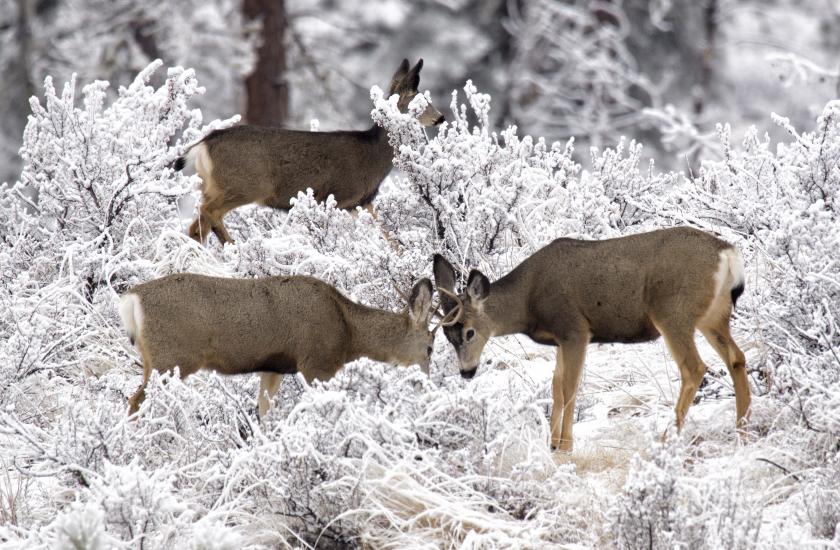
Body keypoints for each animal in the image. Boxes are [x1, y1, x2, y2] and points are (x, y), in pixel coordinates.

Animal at [120, 274, 446, 416]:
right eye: (430, 348)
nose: (426, 383)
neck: (347, 331)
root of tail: (131, 300)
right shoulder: (316, 363)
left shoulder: (274, 367)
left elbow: (265, 412)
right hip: (171, 358)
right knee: (136, 401)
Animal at [174, 58, 442, 246]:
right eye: (419, 102)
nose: (440, 118)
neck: (373, 156)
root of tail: (203, 144)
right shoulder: (338, 195)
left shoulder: (363, 202)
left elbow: (390, 237)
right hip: (245, 183)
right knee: (209, 213)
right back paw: (233, 248)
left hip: (213, 185)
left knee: (196, 226)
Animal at [434, 226, 748, 450]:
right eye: (447, 336)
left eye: (469, 332)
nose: (466, 372)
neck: (528, 301)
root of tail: (728, 254)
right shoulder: (560, 340)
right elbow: (556, 387)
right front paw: (551, 442)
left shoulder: (575, 329)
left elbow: (570, 387)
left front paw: (564, 445)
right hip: (713, 316)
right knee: (736, 358)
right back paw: (742, 427)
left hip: (673, 313)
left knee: (694, 367)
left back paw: (666, 437)